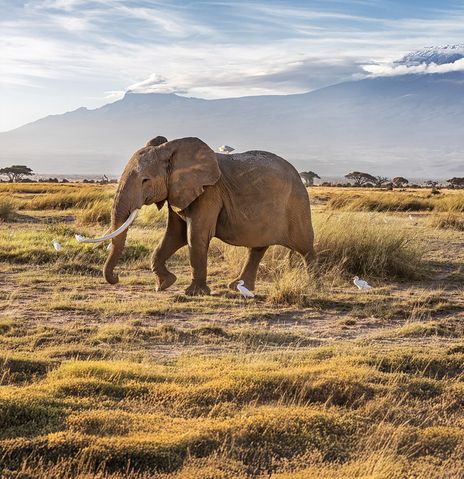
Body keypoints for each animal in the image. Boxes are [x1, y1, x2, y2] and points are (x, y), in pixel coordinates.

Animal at [83, 134, 316, 292]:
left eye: (145, 180)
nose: (116, 278)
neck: (171, 149)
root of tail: (298, 174)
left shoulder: (209, 192)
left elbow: (195, 235)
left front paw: (194, 293)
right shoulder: (178, 191)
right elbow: (173, 235)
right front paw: (164, 284)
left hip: (297, 203)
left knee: (304, 246)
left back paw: (313, 285)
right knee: (258, 247)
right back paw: (238, 287)